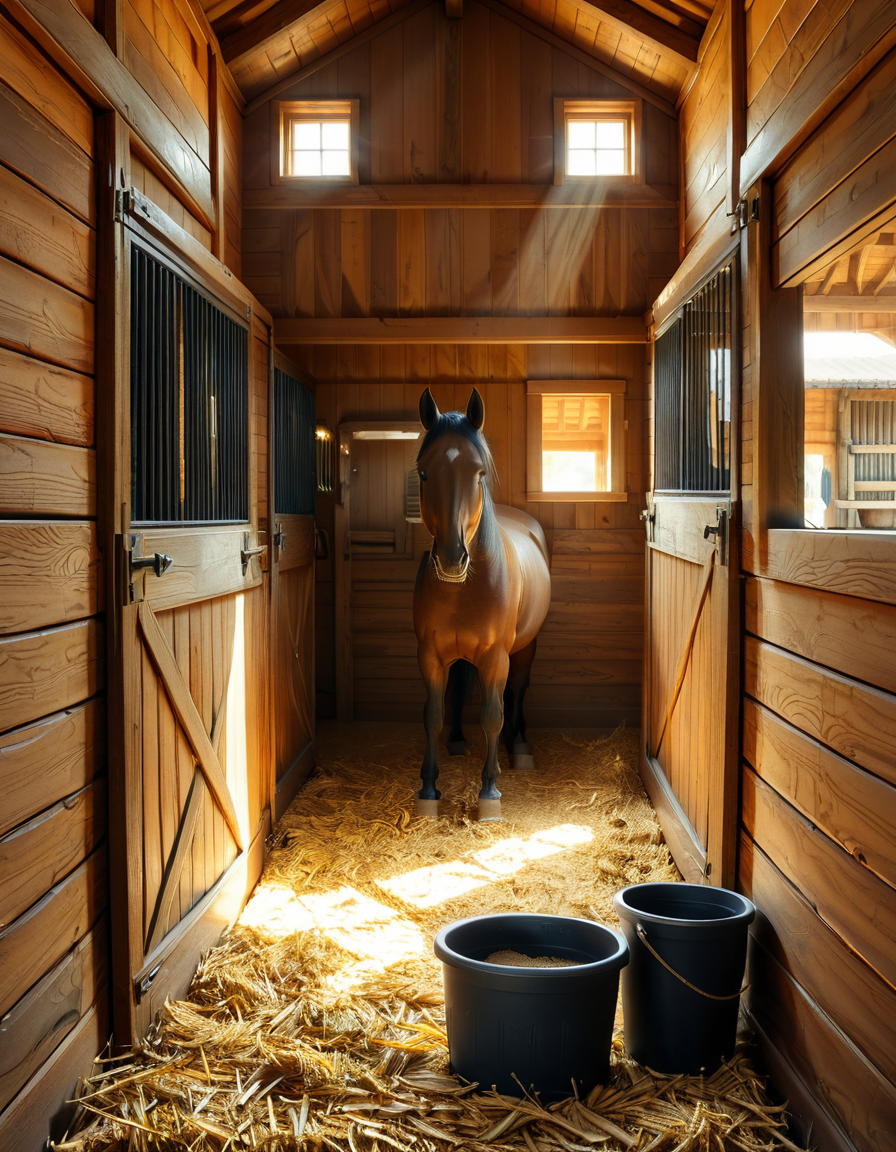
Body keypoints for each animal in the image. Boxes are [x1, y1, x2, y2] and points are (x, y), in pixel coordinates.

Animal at [412, 387, 552, 819]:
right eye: (423, 473)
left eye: (479, 474)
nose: (452, 558)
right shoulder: (431, 655)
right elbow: (433, 715)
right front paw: (428, 789)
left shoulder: (495, 657)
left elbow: (492, 715)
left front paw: (489, 792)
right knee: (460, 691)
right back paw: (459, 740)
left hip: (525, 648)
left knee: (517, 691)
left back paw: (519, 745)